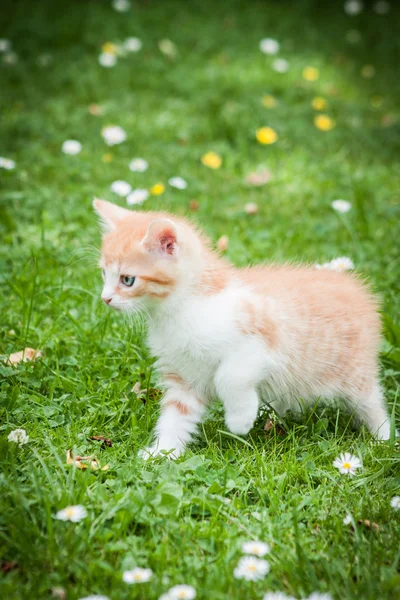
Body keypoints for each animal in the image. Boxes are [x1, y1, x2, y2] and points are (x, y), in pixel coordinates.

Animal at [94, 199, 394, 458]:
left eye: (128, 279)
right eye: (104, 274)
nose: (105, 298)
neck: (179, 309)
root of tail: (357, 288)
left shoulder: (264, 343)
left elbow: (229, 376)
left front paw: (240, 419)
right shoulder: (183, 375)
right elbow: (175, 415)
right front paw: (162, 452)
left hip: (353, 372)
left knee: (371, 401)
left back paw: (384, 440)